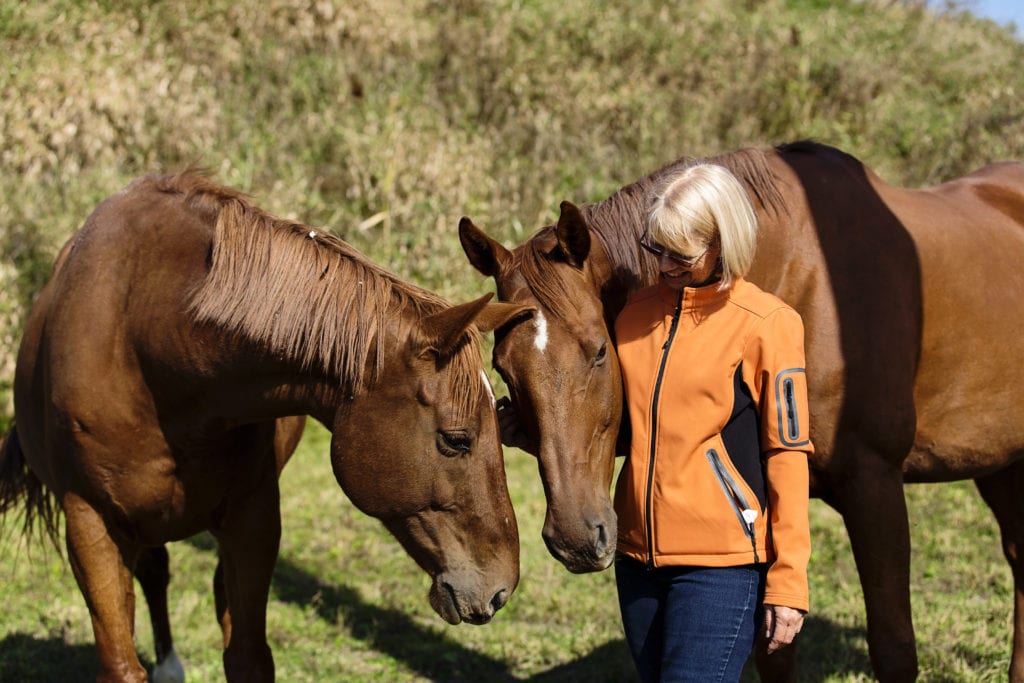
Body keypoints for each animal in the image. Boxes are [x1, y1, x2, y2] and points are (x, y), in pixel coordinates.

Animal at [0, 169, 529, 683]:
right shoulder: (90, 524)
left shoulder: (252, 519)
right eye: (456, 439)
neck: (145, 337)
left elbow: (248, 657)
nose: (501, 589)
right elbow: (121, 664)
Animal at [458, 140, 1024, 682]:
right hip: (998, 463)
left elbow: (893, 651)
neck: (805, 281)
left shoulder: (874, 486)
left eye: (600, 350)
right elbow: (775, 655)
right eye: (503, 367)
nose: (576, 539)